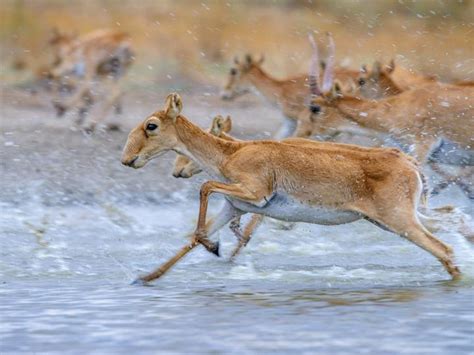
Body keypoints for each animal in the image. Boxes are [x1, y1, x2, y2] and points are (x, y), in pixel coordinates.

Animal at [120, 93, 462, 286]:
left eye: (151, 125)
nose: (127, 159)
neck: (229, 153)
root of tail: (409, 162)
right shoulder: (235, 205)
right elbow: (192, 239)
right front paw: (146, 277)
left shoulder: (255, 194)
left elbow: (205, 187)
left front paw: (213, 246)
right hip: (396, 219)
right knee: (452, 224)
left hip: (400, 220)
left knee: (444, 249)